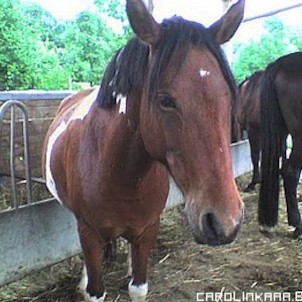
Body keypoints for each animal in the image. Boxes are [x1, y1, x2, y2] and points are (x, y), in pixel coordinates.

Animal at [43, 1, 245, 300]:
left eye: (229, 97)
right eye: (165, 100)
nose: (224, 220)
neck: (118, 173)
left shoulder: (148, 229)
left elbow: (138, 287)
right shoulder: (90, 234)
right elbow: (95, 288)